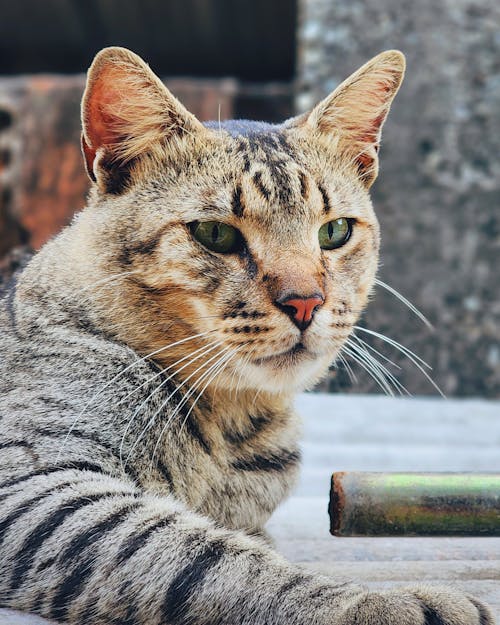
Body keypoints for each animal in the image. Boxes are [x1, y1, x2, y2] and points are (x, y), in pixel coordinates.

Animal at [0, 45, 492, 624]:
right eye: (215, 234)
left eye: (335, 231)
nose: (306, 301)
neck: (232, 423)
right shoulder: (37, 487)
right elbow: (214, 561)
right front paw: (379, 603)